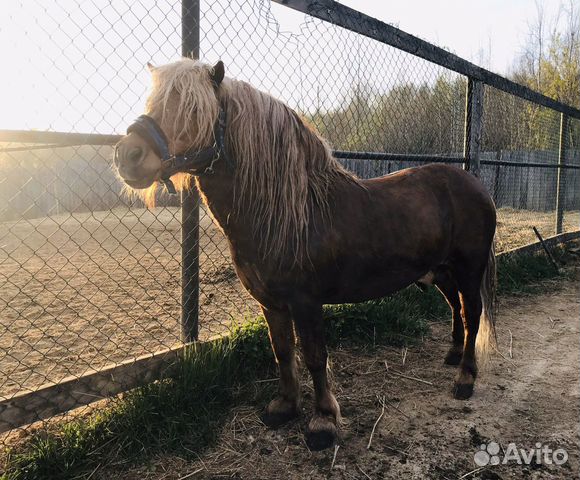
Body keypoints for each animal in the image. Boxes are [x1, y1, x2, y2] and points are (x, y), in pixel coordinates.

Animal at [114, 58, 498, 452]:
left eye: (193, 110)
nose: (128, 156)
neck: (287, 213)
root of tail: (474, 184)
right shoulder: (271, 304)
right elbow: (282, 351)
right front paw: (284, 406)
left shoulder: (306, 302)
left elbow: (314, 356)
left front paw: (323, 421)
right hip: (441, 271)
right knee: (455, 308)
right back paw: (452, 356)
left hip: (469, 270)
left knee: (471, 314)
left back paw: (465, 379)